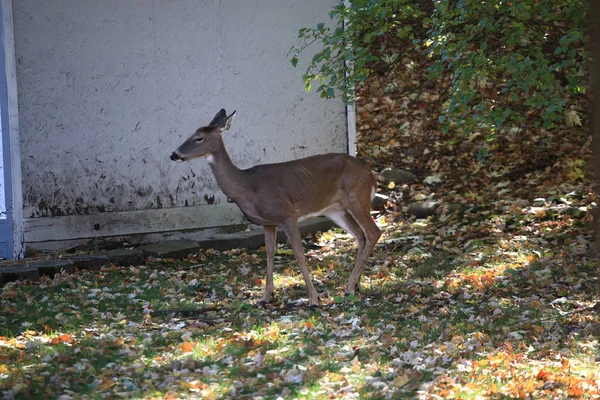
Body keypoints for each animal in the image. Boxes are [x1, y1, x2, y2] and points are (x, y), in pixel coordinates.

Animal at [171, 109, 382, 306]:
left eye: (199, 138)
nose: (174, 154)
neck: (248, 187)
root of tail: (371, 174)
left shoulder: (287, 215)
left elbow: (299, 254)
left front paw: (314, 299)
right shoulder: (268, 223)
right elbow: (269, 253)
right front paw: (266, 296)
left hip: (357, 197)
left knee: (373, 232)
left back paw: (349, 288)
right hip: (336, 209)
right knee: (361, 236)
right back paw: (355, 286)